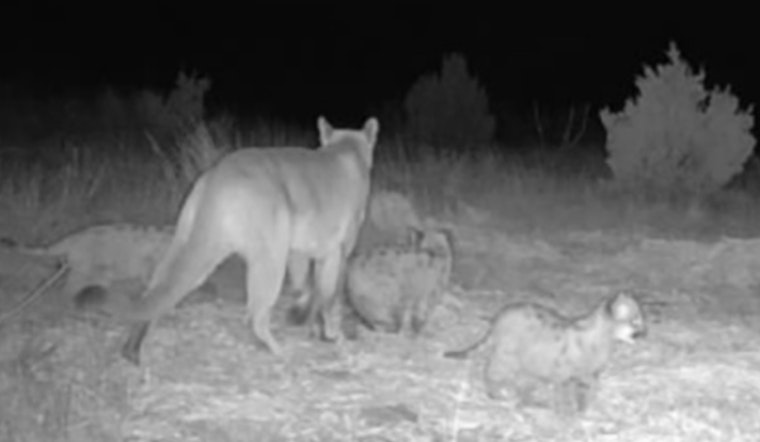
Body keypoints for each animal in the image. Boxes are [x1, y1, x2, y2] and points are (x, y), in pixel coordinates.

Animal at [76, 116, 380, 365]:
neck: (346, 150)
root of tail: (216, 176)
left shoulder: (301, 252)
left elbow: (306, 289)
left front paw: (305, 320)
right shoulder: (336, 252)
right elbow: (329, 295)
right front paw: (332, 335)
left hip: (188, 246)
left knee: (154, 294)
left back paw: (132, 350)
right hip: (269, 257)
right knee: (255, 315)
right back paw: (279, 352)